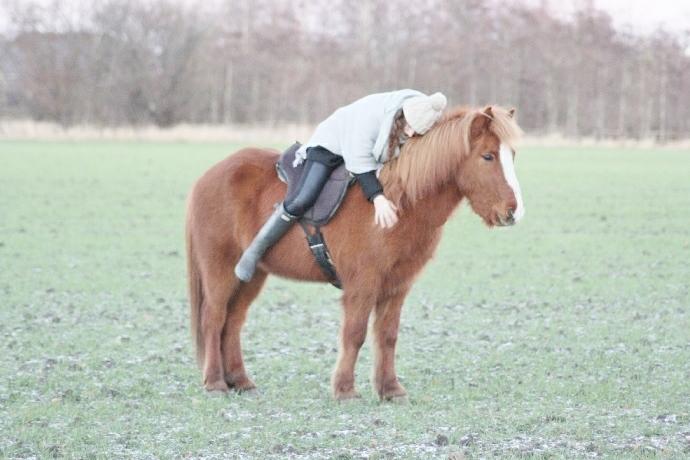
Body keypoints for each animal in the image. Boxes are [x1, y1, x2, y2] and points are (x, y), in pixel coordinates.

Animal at [187, 106, 520, 400]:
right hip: (220, 270)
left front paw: (390, 390)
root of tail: (206, 178)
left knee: (233, 321)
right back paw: (215, 383)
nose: (513, 212)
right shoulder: (363, 284)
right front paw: (345, 390)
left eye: (512, 155)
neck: (398, 203)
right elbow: (355, 334)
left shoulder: (397, 286)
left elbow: (387, 336)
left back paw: (241, 382)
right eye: (488, 156)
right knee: (214, 318)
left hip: (252, 274)